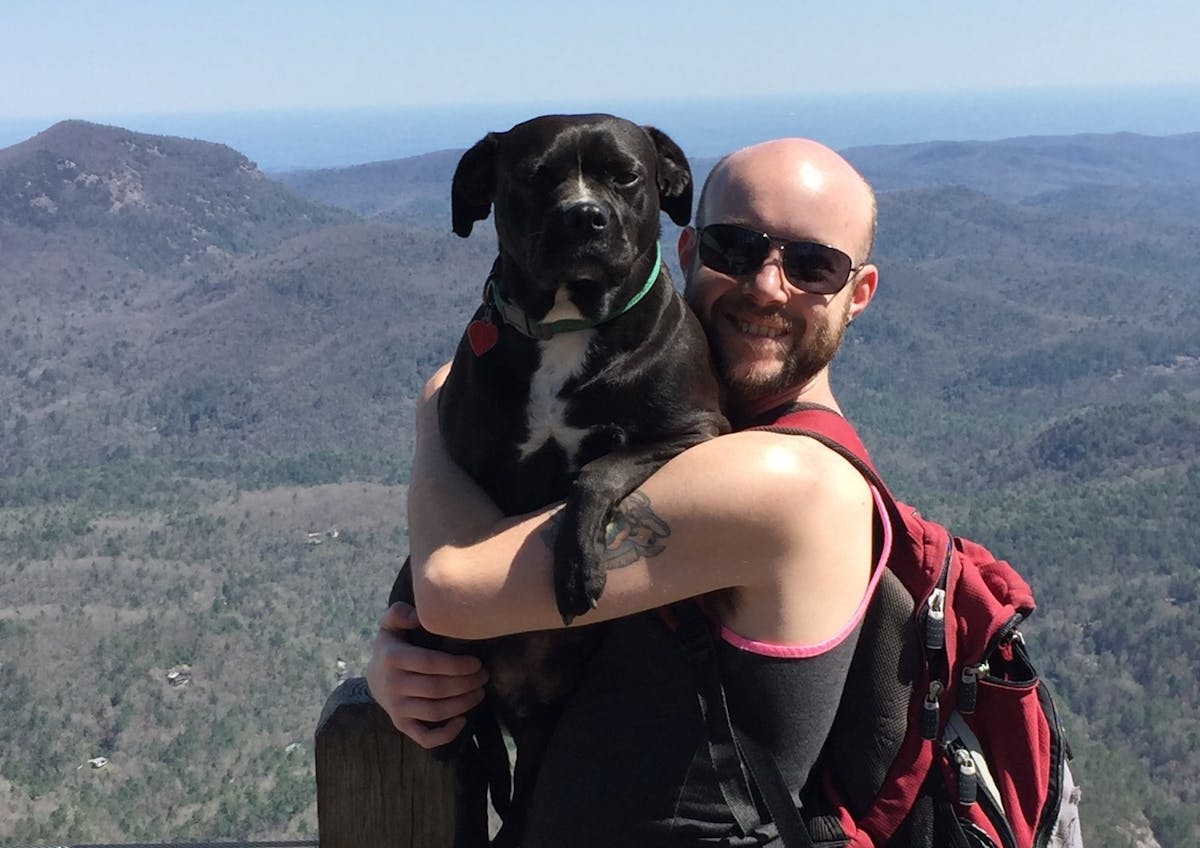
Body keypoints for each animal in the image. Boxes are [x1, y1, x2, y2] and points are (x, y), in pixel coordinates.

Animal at [393, 116, 724, 848]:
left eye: (625, 175)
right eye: (534, 176)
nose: (583, 215)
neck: (568, 325)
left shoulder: (698, 431)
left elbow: (598, 469)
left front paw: (577, 569)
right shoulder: (463, 459)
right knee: (475, 743)